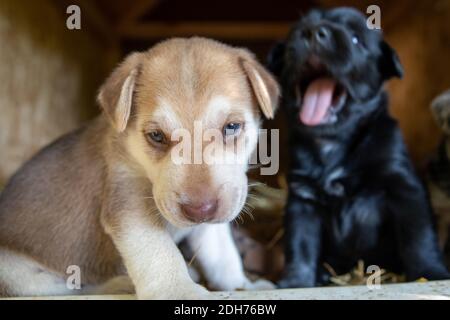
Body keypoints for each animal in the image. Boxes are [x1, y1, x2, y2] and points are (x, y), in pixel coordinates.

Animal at [0, 38, 278, 300]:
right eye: (156, 136)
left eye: (232, 127)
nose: (200, 210)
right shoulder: (128, 203)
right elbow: (159, 252)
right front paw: (179, 291)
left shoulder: (212, 224)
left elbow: (223, 257)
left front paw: (243, 285)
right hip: (15, 271)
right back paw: (120, 284)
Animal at [268, 7, 448, 288]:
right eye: (298, 31)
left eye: (355, 39)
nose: (313, 32)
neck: (332, 143)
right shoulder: (302, 200)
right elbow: (300, 243)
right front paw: (297, 280)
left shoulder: (405, 189)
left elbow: (418, 236)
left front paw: (429, 273)